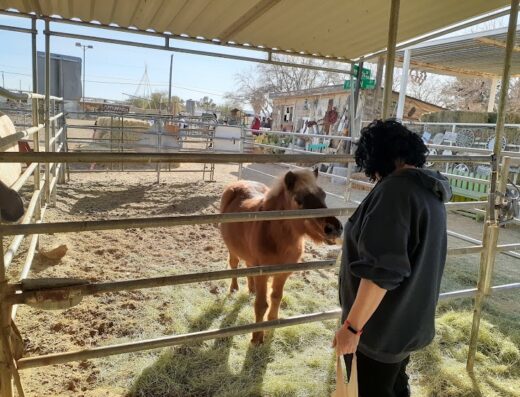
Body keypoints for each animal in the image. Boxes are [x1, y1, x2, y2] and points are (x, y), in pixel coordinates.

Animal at [218, 169, 342, 342]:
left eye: (323, 195)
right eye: (298, 200)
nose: (334, 228)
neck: (276, 237)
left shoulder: (283, 273)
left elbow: (276, 297)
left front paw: (272, 322)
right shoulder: (262, 273)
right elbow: (261, 305)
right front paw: (257, 337)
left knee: (248, 267)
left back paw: (251, 289)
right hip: (232, 249)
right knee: (234, 264)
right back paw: (234, 289)